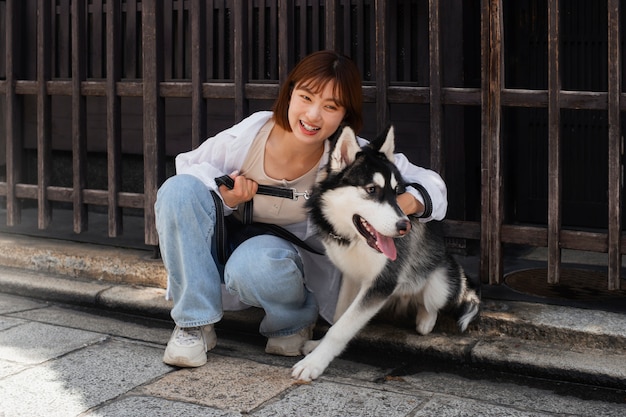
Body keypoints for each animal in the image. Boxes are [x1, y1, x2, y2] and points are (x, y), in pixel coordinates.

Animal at [290, 124, 480, 380]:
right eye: (372, 189)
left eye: (398, 191)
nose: (404, 226)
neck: (356, 240)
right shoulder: (351, 276)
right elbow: (340, 316)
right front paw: (318, 346)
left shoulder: (383, 282)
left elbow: (343, 327)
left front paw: (314, 363)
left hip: (441, 281)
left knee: (431, 301)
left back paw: (425, 321)